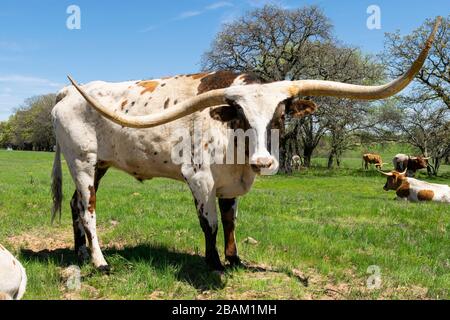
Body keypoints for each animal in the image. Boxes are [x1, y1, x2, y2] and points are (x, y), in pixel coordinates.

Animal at [51, 18, 440, 272]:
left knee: (74, 204)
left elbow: (231, 220)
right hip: (83, 162)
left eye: (281, 116)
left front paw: (235, 258)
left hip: (98, 165)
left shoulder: (230, 183)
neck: (236, 151)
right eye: (239, 114)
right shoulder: (200, 179)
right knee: (88, 209)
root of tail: (69, 91)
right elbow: (209, 223)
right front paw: (213, 264)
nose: (264, 163)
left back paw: (80, 254)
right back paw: (100, 261)